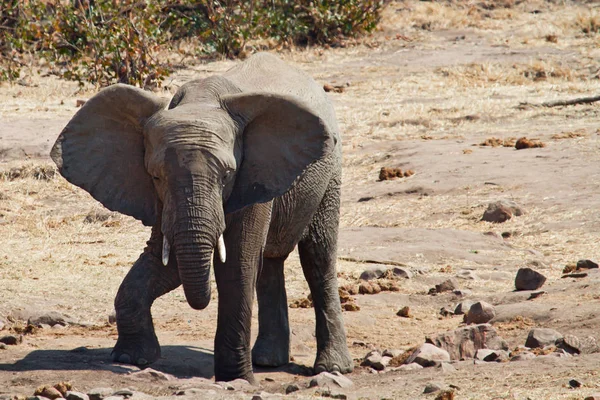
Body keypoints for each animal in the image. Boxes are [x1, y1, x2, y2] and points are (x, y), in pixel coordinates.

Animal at [51, 52, 354, 382]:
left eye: (227, 175)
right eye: (155, 176)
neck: (200, 100)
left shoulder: (254, 173)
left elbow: (237, 262)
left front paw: (236, 379)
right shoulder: (163, 199)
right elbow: (168, 259)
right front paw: (133, 357)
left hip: (331, 172)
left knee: (318, 257)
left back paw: (332, 367)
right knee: (269, 263)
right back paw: (267, 361)